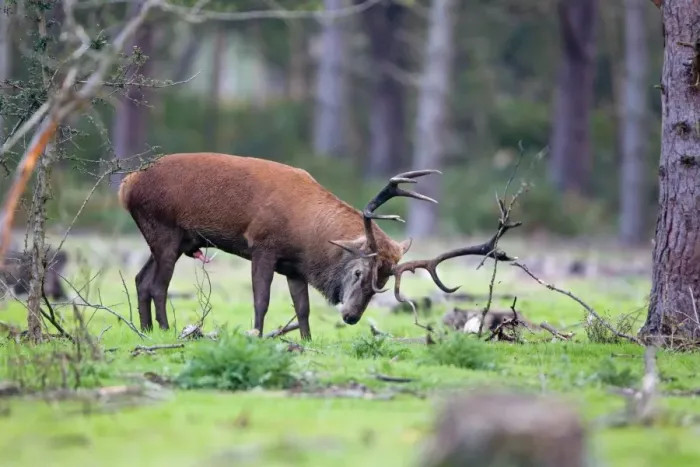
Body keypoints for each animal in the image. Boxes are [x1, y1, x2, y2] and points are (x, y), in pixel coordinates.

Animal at [118, 152, 518, 340]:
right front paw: (258, 334)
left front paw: (307, 340)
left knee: (140, 279)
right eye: (358, 272)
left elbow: (304, 308)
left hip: (171, 238)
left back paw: (147, 330)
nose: (351, 316)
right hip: (165, 230)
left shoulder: (294, 266)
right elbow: (261, 300)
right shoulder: (262, 246)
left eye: (383, 284)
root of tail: (125, 186)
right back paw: (165, 329)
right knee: (158, 285)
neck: (305, 235)